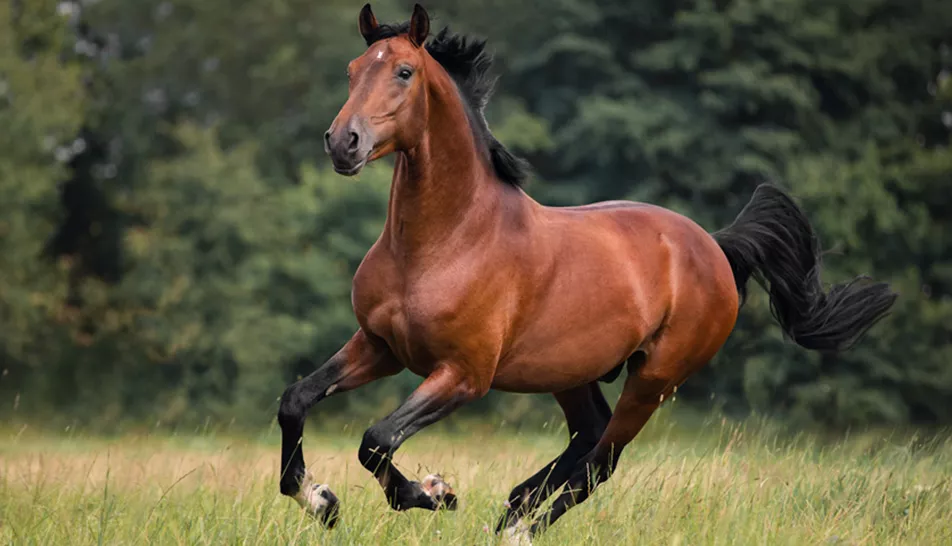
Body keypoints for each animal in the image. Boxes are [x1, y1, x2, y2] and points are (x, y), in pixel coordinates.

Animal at [277, 3, 897, 542]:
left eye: (404, 71)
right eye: (353, 70)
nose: (343, 142)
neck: (444, 243)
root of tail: (715, 247)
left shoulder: (463, 375)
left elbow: (377, 438)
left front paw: (434, 492)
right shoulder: (380, 346)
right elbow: (297, 401)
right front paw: (321, 501)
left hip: (653, 380)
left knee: (602, 461)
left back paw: (518, 527)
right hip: (571, 373)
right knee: (587, 438)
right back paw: (513, 508)